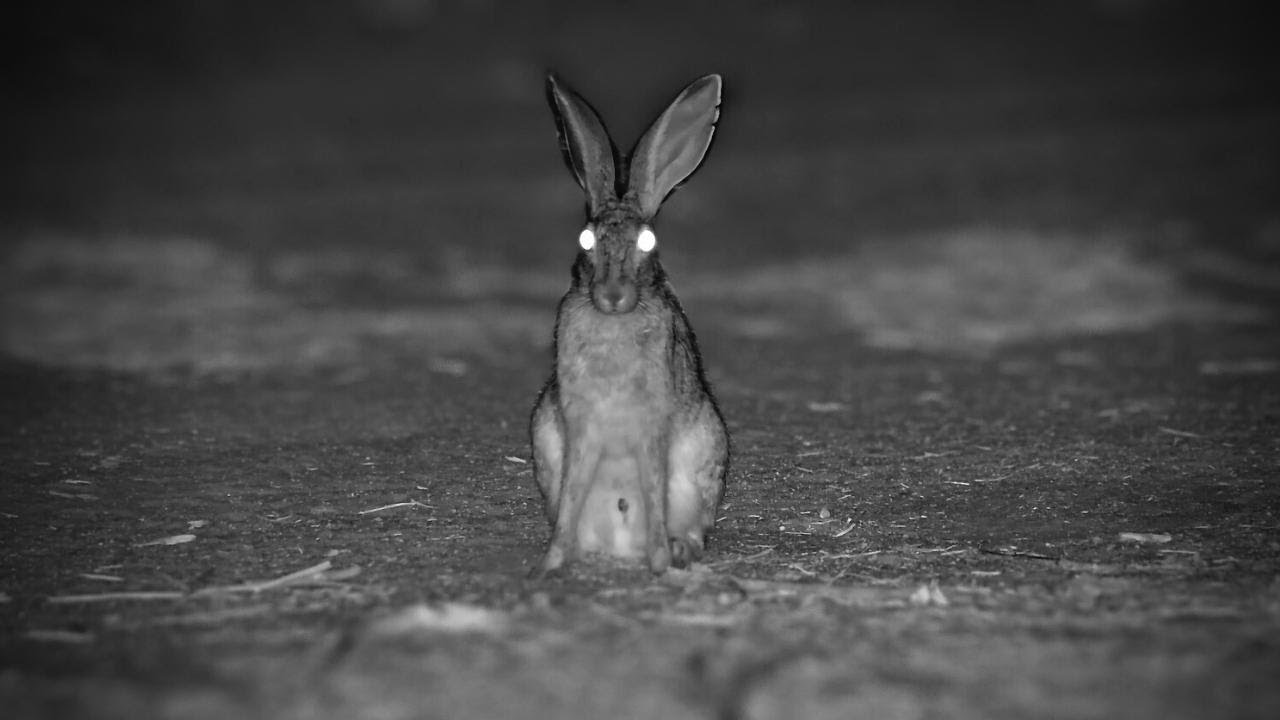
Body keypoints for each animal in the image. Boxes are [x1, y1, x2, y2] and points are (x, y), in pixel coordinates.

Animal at [529, 72, 730, 576]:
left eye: (647, 241)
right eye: (585, 239)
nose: (612, 296)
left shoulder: (653, 428)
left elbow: (654, 491)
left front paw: (659, 564)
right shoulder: (578, 428)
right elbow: (572, 494)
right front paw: (549, 564)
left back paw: (677, 552)